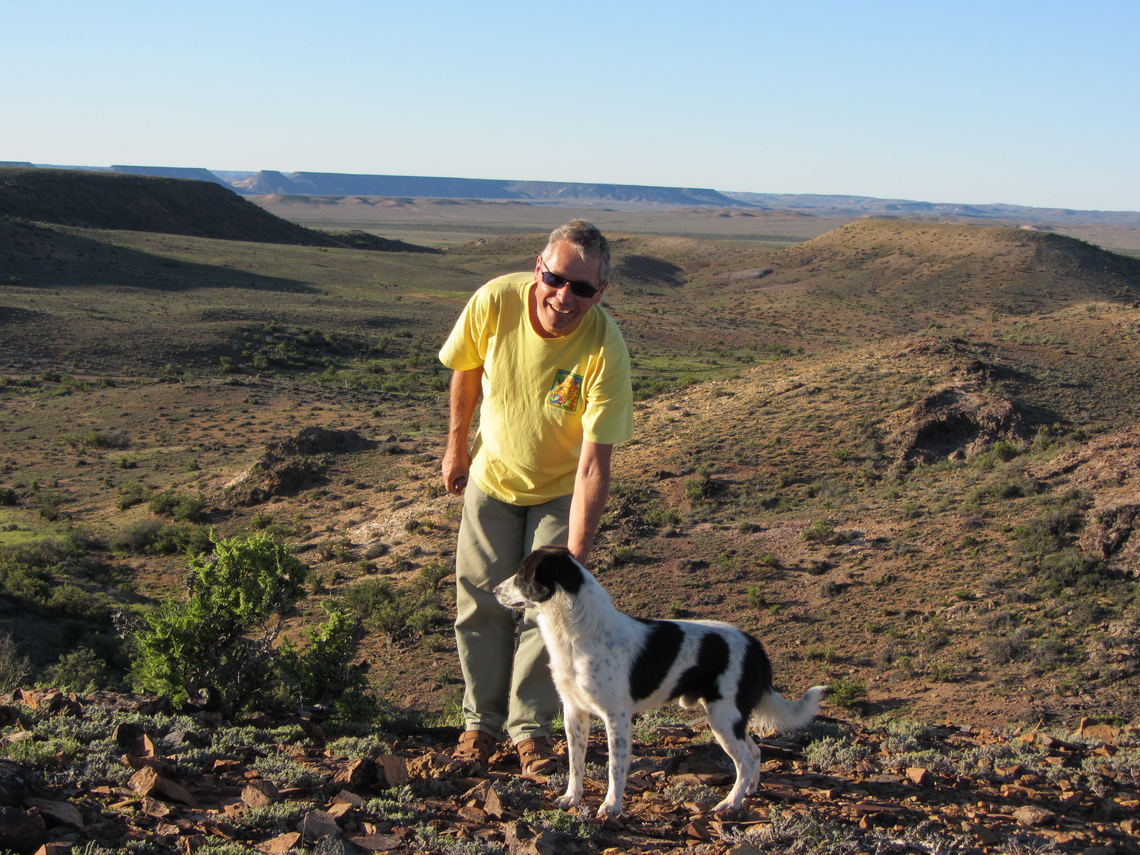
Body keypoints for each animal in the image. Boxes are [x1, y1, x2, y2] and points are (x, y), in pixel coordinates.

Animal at [494, 544, 825, 820]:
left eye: (522, 575)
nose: (495, 590)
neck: (579, 633)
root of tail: (755, 645)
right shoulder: (575, 712)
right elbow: (576, 764)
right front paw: (572, 798)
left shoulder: (617, 717)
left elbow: (616, 768)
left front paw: (611, 806)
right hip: (732, 719)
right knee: (755, 754)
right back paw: (749, 793)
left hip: (723, 717)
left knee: (745, 760)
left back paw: (730, 803)